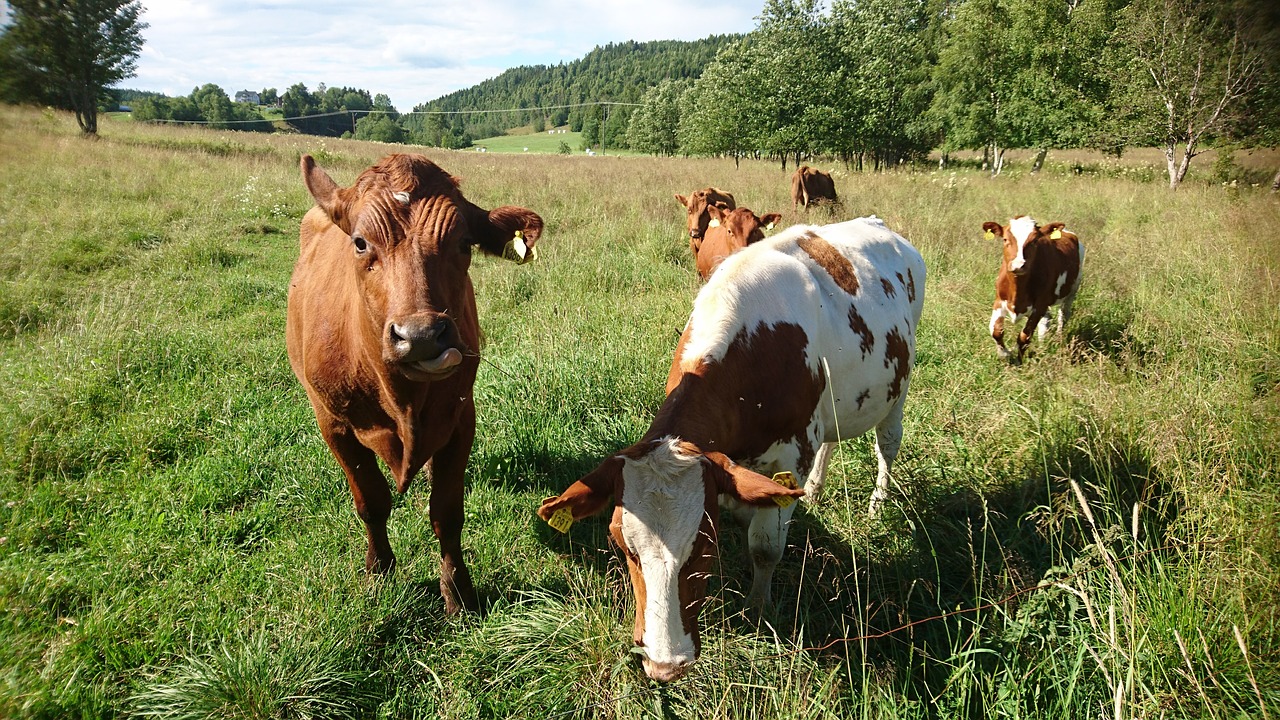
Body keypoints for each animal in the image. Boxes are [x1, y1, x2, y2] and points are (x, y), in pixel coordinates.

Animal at [288, 152, 542, 609]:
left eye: (464, 243)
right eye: (360, 242)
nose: (421, 335)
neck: (401, 398)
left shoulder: (461, 418)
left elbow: (447, 513)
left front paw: (457, 592)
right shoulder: (332, 424)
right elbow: (371, 502)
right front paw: (379, 570)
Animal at [535, 212, 926, 676]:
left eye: (706, 541)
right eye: (621, 544)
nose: (664, 664)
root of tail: (879, 224)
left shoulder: (791, 456)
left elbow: (765, 547)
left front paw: (759, 609)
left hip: (899, 391)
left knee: (887, 447)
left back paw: (877, 504)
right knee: (832, 442)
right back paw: (815, 491)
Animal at [983, 212, 1085, 361]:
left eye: (1034, 241)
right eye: (1005, 239)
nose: (1018, 265)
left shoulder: (1039, 306)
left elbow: (1024, 337)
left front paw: (1019, 361)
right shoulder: (999, 301)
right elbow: (995, 331)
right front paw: (1005, 354)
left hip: (1072, 291)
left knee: (1063, 316)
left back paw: (1058, 339)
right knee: (1046, 320)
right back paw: (1042, 344)